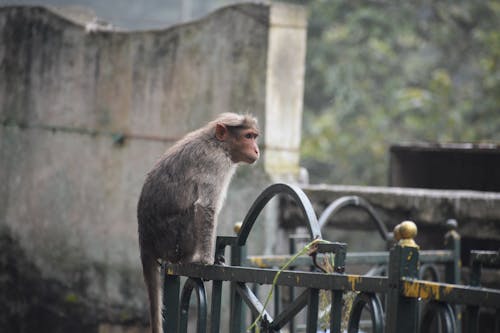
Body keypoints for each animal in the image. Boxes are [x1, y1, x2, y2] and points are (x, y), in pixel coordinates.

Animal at [138, 112, 260, 332]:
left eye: (254, 136)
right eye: (248, 136)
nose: (257, 149)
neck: (218, 143)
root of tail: (145, 241)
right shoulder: (215, 163)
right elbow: (205, 207)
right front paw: (206, 261)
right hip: (174, 241)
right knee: (190, 214)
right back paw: (189, 259)